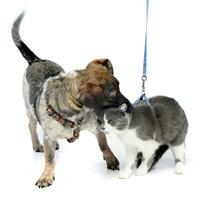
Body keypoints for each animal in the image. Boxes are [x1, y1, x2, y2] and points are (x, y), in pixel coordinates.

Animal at [11, 12, 168, 188]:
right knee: (32, 126)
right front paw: (46, 175)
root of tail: (36, 60)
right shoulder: (49, 136)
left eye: (120, 86)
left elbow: (103, 144)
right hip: (29, 109)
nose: (131, 107)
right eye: (113, 95)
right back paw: (37, 144)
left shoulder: (97, 127)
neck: (75, 113)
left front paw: (110, 158)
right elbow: (49, 159)